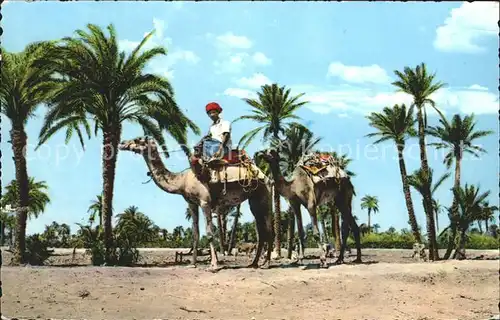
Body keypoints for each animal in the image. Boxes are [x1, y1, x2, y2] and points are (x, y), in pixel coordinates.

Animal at [117, 136, 274, 272]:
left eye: (138, 139)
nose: (122, 143)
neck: (182, 180)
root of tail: (265, 175)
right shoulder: (192, 203)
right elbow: (195, 233)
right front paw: (192, 264)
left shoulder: (205, 202)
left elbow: (210, 233)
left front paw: (214, 265)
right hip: (254, 200)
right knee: (262, 232)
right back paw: (254, 264)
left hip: (264, 195)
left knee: (269, 229)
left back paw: (266, 263)